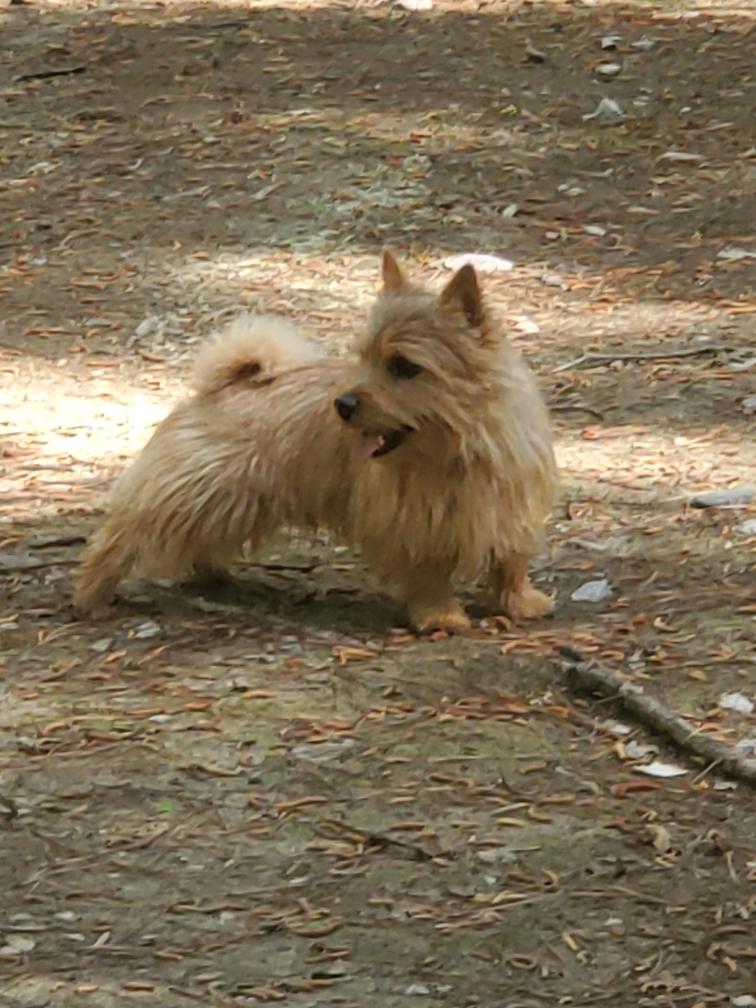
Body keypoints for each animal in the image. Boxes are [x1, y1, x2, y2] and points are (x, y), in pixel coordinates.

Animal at [73, 250, 558, 632]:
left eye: (404, 366)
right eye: (364, 358)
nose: (342, 404)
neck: (458, 450)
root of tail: (226, 385)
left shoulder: (507, 509)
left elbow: (510, 561)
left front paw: (521, 602)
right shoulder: (412, 526)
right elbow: (428, 575)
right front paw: (440, 617)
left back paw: (211, 574)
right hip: (192, 492)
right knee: (121, 536)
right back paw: (92, 594)